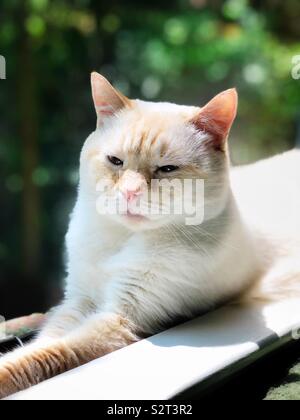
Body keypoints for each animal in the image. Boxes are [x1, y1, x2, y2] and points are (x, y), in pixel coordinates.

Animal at [0, 73, 298, 400]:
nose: (130, 192)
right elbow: (45, 340)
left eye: (167, 169)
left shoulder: (123, 320)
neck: (120, 240)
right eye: (115, 161)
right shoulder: (79, 301)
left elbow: (43, 356)